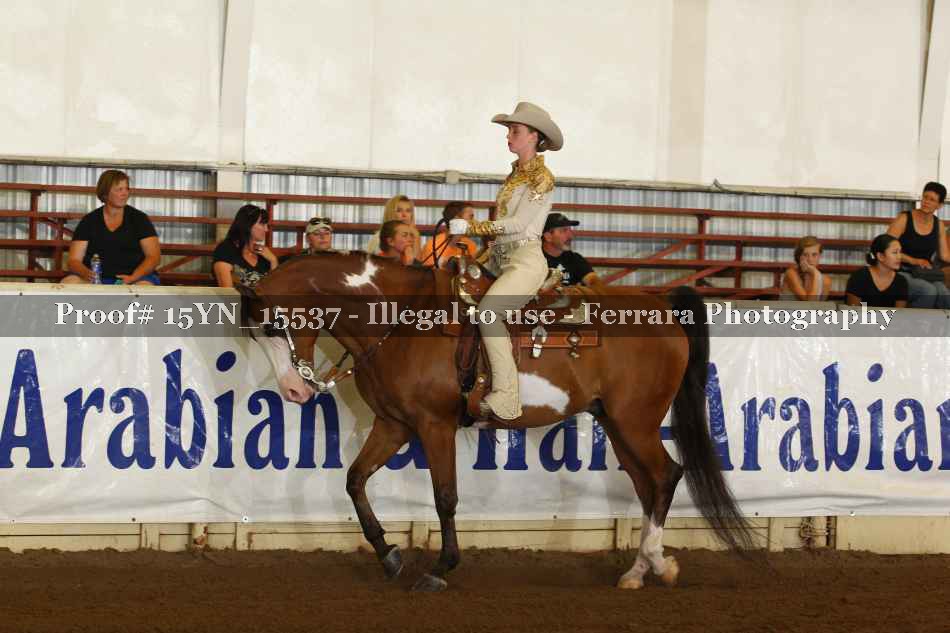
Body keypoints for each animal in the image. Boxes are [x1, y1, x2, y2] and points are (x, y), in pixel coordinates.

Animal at [241, 250, 754, 591]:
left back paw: (657, 564)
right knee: (648, 485)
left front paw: (439, 569)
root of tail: (662, 303)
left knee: (666, 476)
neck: (402, 322)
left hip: (637, 422)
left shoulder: (434, 426)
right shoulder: (393, 424)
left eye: (273, 325)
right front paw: (388, 555)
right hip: (618, 423)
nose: (293, 391)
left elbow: (445, 497)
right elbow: (354, 480)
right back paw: (638, 570)